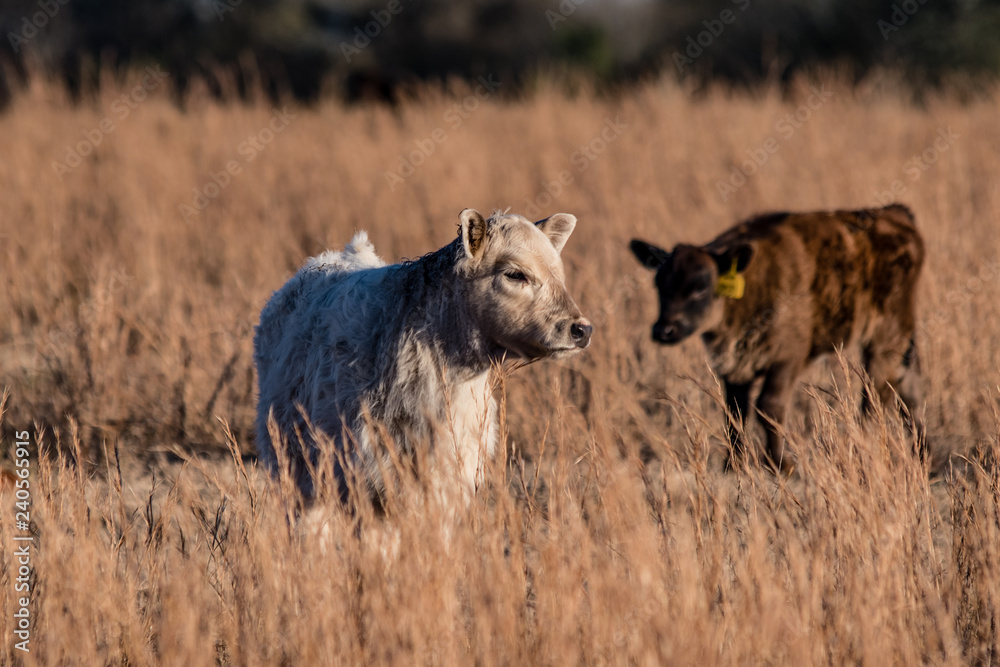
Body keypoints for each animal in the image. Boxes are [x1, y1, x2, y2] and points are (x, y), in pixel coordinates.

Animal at [630, 203, 924, 471]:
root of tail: (894, 213)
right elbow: (735, 413)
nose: (664, 330)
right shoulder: (735, 366)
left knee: (876, 394)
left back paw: (864, 450)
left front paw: (781, 464)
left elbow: (768, 407)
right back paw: (922, 454)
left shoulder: (787, 358)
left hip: (887, 337)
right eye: (659, 285)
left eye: (701, 287)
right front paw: (733, 464)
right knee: (905, 389)